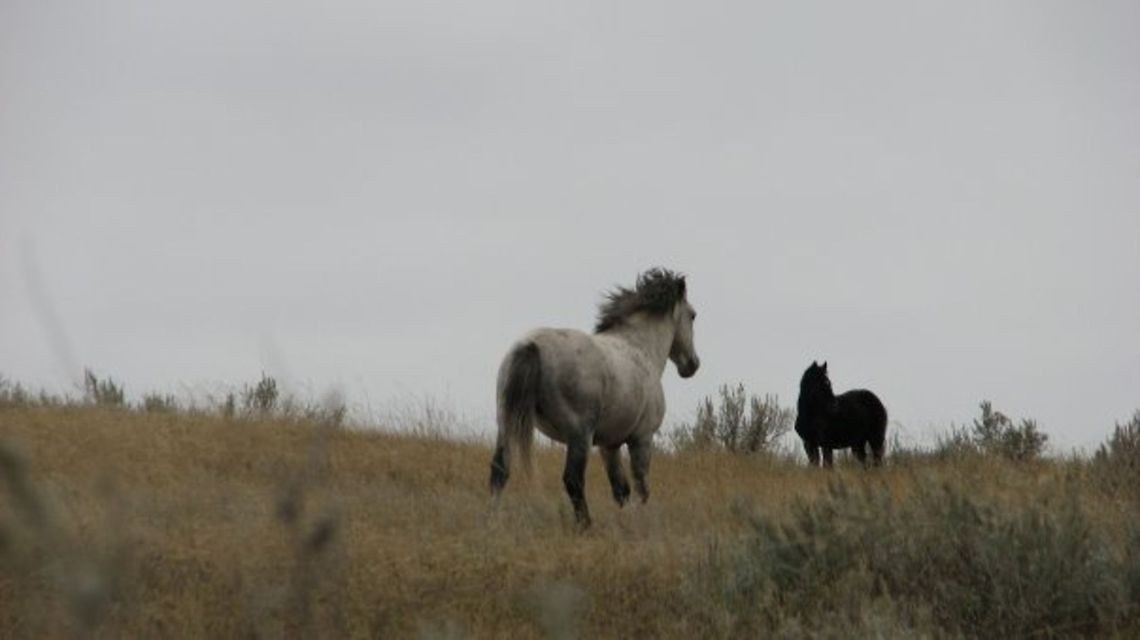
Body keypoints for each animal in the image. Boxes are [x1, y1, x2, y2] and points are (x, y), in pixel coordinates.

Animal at [489, 268, 700, 529]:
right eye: (693, 316)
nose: (692, 365)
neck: (640, 349)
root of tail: (531, 345)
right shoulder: (641, 438)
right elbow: (641, 489)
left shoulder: (609, 445)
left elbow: (621, 490)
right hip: (579, 435)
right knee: (573, 479)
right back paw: (586, 525)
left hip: (506, 423)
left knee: (500, 470)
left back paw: (492, 521)